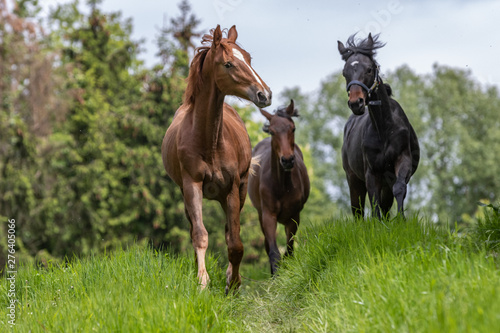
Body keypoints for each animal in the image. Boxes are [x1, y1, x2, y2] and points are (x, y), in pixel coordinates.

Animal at [162, 24, 272, 292]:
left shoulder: (232, 188)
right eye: (228, 64)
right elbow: (200, 235)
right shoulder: (192, 186)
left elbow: (235, 242)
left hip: (236, 192)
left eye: (249, 59)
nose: (265, 94)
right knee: (196, 229)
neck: (209, 141)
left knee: (229, 232)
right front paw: (202, 281)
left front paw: (233, 282)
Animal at [246, 99, 308, 274]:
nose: (287, 160)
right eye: (272, 132)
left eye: (293, 128)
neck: (282, 185)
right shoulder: (268, 215)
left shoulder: (293, 216)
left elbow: (289, 250)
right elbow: (274, 252)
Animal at [338, 33, 420, 218]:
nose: (356, 103)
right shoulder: (371, 171)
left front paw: (401, 219)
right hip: (353, 178)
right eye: (345, 72)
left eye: (369, 69)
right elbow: (373, 201)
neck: (385, 128)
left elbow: (399, 189)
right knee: (357, 209)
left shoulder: (402, 159)